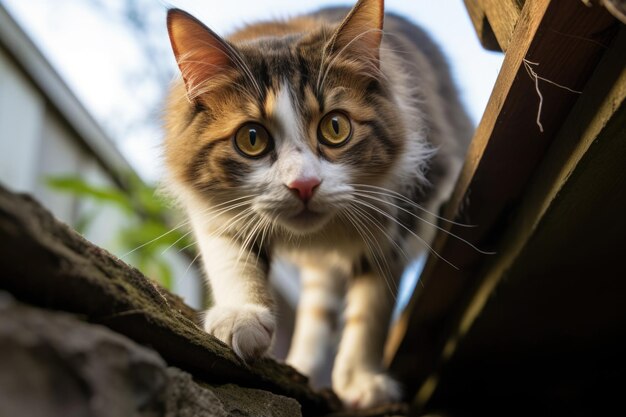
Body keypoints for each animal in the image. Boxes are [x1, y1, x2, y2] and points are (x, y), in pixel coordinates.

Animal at [161, 0, 468, 410]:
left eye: (335, 128)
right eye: (252, 138)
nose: (303, 185)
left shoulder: (404, 213)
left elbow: (371, 307)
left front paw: (361, 382)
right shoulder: (214, 212)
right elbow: (233, 260)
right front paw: (243, 318)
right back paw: (300, 366)